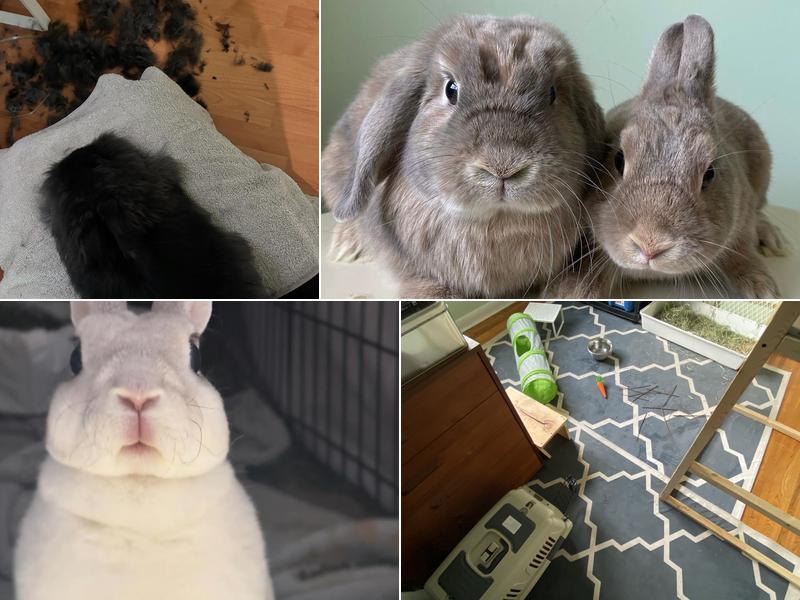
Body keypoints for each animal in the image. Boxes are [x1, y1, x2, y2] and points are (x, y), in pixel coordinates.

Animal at [322, 15, 606, 298]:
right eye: (451, 90)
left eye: (552, 94)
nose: (503, 165)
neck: (495, 222)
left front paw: (572, 290)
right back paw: (346, 246)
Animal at [576, 14, 785, 298]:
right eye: (618, 160)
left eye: (710, 174)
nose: (650, 243)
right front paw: (569, 291)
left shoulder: (740, 223)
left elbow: (742, 254)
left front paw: (763, 290)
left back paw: (773, 239)